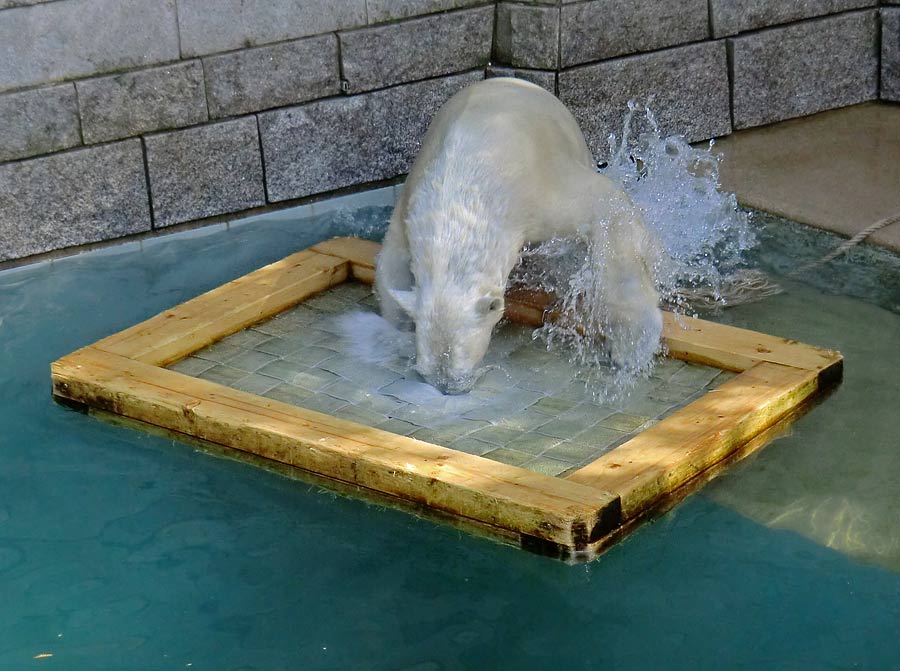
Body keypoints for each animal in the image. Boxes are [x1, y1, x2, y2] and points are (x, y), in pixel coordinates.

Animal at [372, 77, 660, 394]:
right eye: (426, 373)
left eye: (460, 368)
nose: (448, 387)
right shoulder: (412, 203)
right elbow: (392, 264)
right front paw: (395, 330)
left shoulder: (537, 189)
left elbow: (607, 212)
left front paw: (632, 345)